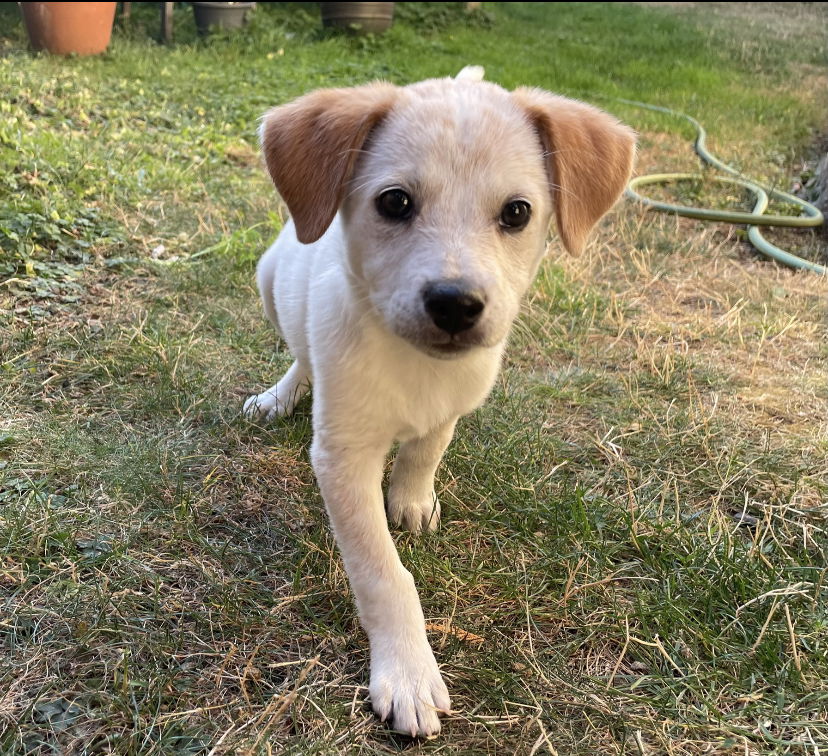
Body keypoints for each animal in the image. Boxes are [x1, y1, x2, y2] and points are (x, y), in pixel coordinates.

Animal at [244, 68, 632, 736]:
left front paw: (412, 497)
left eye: (517, 212)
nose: (455, 304)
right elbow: (383, 573)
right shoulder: (343, 458)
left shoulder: (458, 396)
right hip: (271, 279)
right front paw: (407, 672)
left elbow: (429, 446)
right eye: (395, 202)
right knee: (299, 351)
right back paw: (282, 394)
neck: (415, 365)